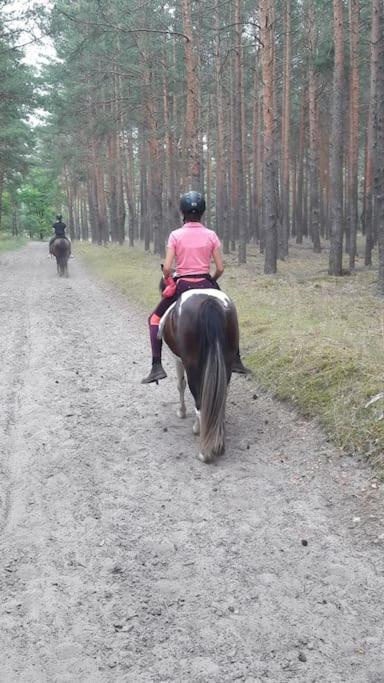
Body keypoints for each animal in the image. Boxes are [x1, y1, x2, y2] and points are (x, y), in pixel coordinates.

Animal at [160, 288, 238, 464]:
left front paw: (182, 411)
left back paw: (204, 450)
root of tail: (210, 302)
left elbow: (180, 385)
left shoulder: (178, 360)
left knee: (200, 402)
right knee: (220, 399)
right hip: (227, 363)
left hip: (192, 365)